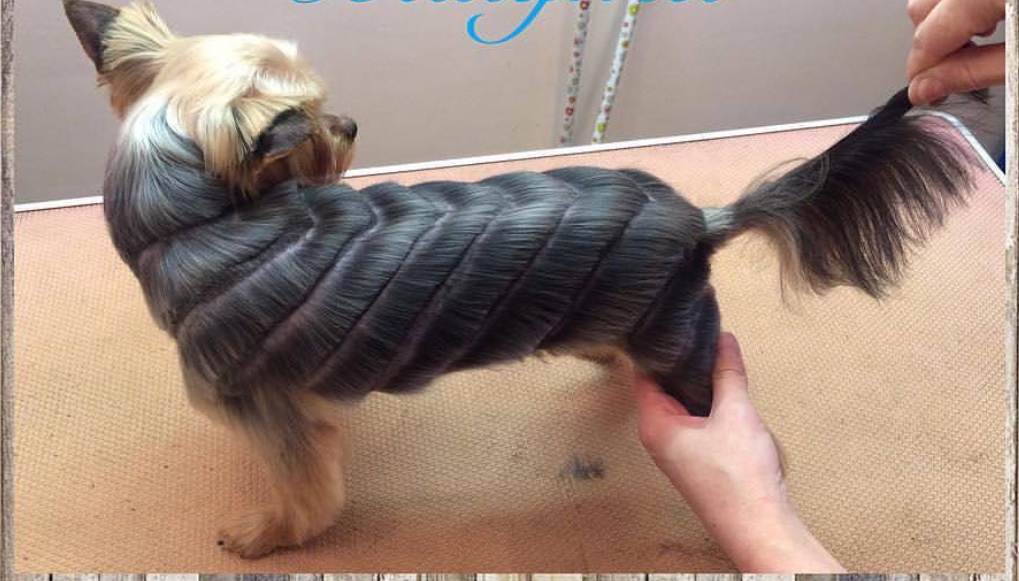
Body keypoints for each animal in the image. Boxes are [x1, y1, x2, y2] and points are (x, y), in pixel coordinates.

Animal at [65, 0, 978, 558]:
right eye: (318, 123)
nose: (350, 124)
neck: (200, 223)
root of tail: (701, 221)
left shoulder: (271, 414)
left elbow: (310, 498)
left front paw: (264, 535)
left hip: (683, 350)